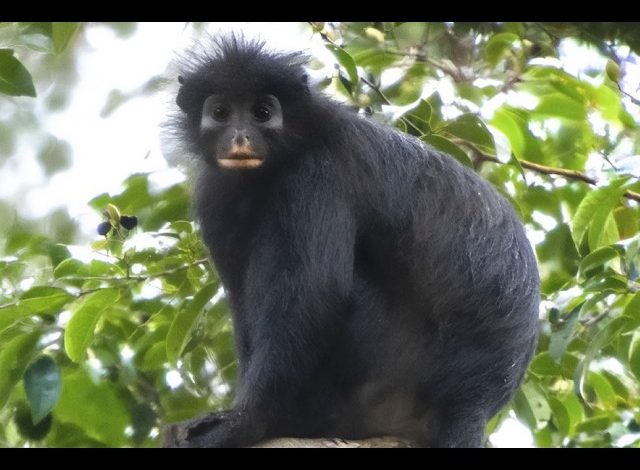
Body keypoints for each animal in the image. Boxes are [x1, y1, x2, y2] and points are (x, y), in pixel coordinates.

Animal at [162, 35, 539, 448]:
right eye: (221, 112)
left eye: (262, 112)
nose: (240, 136)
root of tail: (475, 400)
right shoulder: (216, 194)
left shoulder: (315, 173)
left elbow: (315, 294)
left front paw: (247, 422)